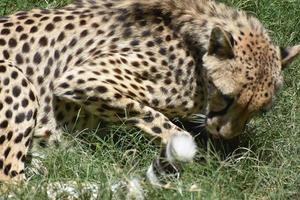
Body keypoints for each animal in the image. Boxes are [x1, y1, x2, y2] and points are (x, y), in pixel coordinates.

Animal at [0, 0, 298, 184]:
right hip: (18, 79)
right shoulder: (81, 79)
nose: (223, 134)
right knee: (11, 182)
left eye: (259, 111)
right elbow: (161, 121)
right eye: (227, 98)